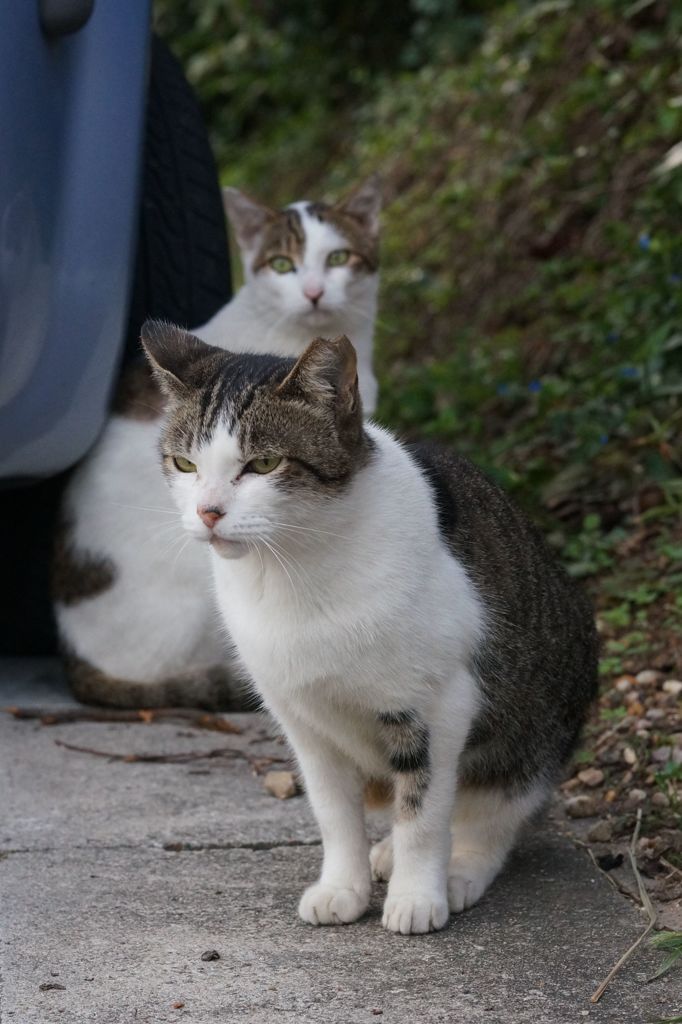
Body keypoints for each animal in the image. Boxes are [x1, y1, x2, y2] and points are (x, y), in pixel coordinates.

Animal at [139, 321, 593, 937]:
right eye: (185, 465)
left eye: (264, 464)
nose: (208, 512)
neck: (291, 570)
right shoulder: (302, 721)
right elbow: (334, 813)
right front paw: (343, 887)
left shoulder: (439, 705)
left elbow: (424, 812)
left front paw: (417, 895)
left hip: (528, 734)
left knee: (488, 816)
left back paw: (459, 870)